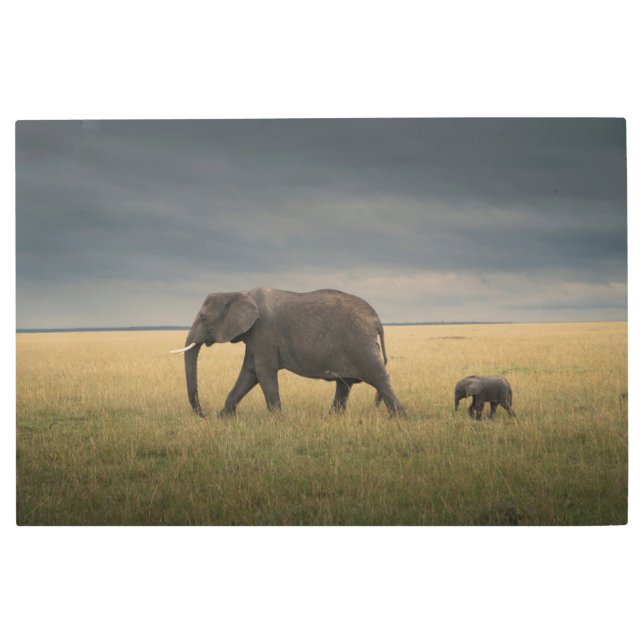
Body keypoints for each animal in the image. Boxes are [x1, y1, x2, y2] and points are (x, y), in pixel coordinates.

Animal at [171, 288, 405, 417]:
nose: (204, 415)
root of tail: (377, 320)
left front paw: (278, 420)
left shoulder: (263, 331)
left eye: (204, 318)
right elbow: (249, 373)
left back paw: (399, 418)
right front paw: (223, 417)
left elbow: (263, 372)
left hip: (360, 343)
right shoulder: (254, 336)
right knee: (344, 384)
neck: (239, 292)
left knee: (379, 379)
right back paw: (332, 418)